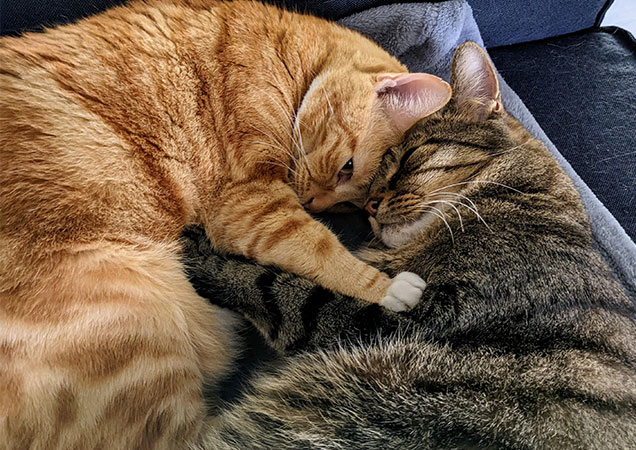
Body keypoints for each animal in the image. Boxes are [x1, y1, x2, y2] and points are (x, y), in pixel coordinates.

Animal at [0, 0, 452, 448]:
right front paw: (387, 288)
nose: (313, 203)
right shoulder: (248, 202)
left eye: (349, 205)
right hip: (145, 346)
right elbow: (320, 250)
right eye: (347, 169)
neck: (286, 55)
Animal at [184, 42, 636, 449]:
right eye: (366, 190)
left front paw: (202, 254)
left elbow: (278, 288)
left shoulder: (402, 319)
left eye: (408, 158)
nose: (369, 206)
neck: (521, 197)